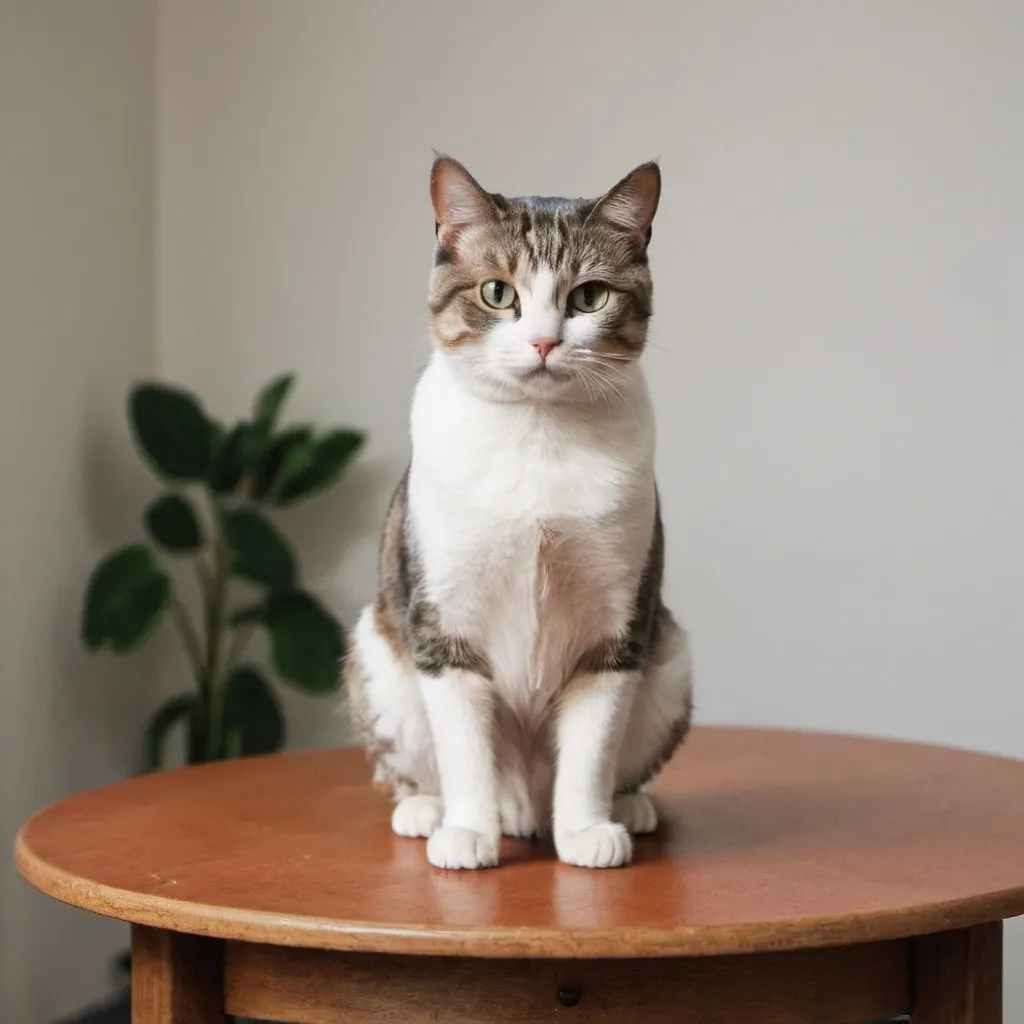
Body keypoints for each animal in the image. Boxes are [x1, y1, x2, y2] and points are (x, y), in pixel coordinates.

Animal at [346, 155, 696, 868]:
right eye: (496, 293)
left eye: (589, 297)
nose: (541, 342)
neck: (537, 436)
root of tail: (525, 808)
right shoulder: (443, 625)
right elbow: (465, 750)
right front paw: (467, 834)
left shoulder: (615, 630)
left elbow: (591, 750)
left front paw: (587, 831)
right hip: (377, 654)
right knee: (418, 765)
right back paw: (427, 810)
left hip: (670, 658)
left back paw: (626, 806)